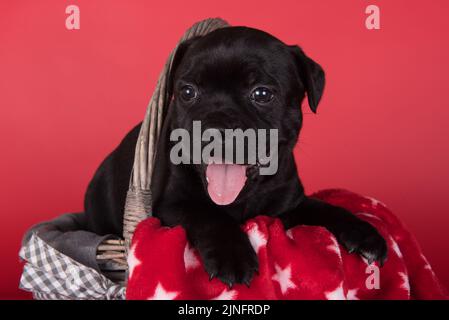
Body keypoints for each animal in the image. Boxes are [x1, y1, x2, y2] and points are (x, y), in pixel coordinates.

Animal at [86, 26, 386, 288]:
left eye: (262, 93)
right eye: (187, 92)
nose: (215, 130)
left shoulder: (289, 205)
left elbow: (325, 208)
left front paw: (364, 234)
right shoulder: (172, 206)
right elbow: (209, 215)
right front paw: (232, 256)